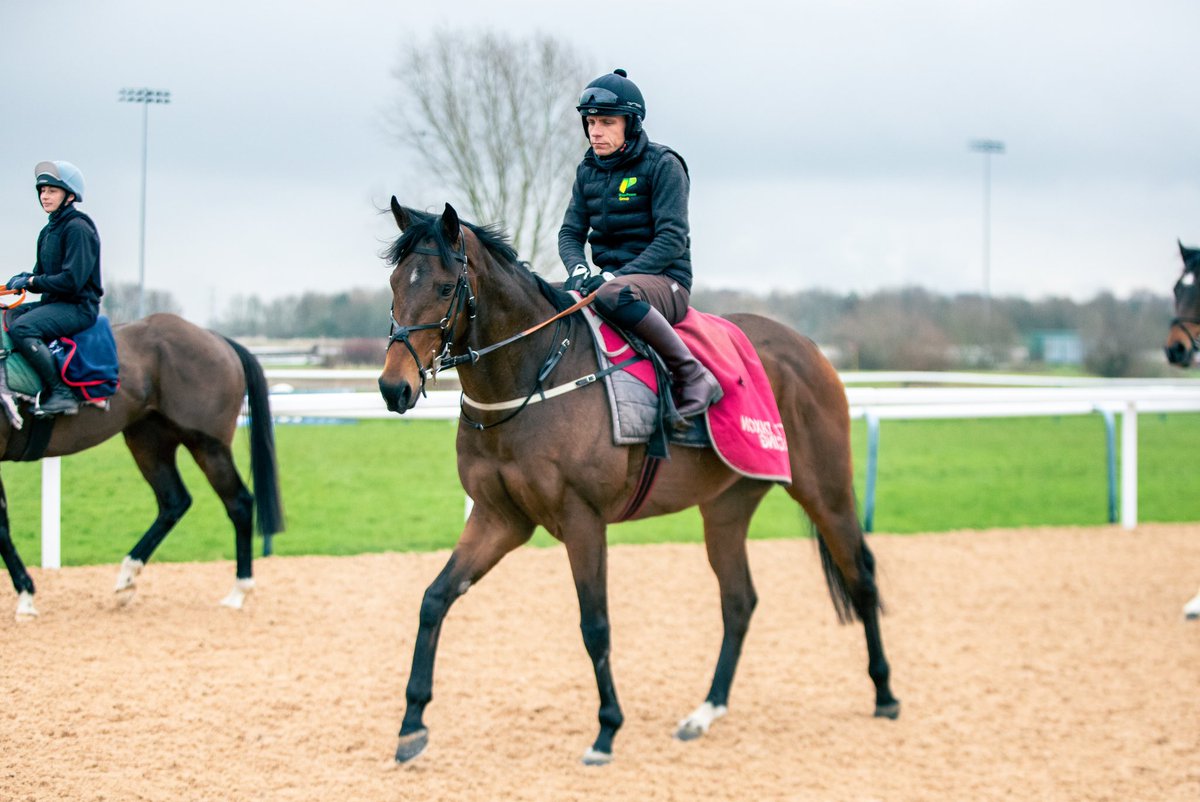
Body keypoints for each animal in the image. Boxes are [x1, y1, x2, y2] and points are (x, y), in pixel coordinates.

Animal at [0, 309, 283, 619]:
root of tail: (217, 339)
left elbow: (0, 527)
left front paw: (26, 597)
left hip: (208, 445)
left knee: (239, 503)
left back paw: (238, 591)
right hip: (148, 441)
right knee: (174, 501)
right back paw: (127, 578)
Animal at [379, 200, 897, 763]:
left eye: (444, 287)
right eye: (394, 284)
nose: (392, 387)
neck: (534, 375)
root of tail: (810, 349)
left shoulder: (581, 519)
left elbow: (595, 625)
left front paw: (607, 729)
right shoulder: (501, 518)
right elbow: (434, 599)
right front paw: (411, 723)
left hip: (824, 487)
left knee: (861, 576)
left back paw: (885, 693)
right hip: (727, 505)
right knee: (739, 601)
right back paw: (706, 711)